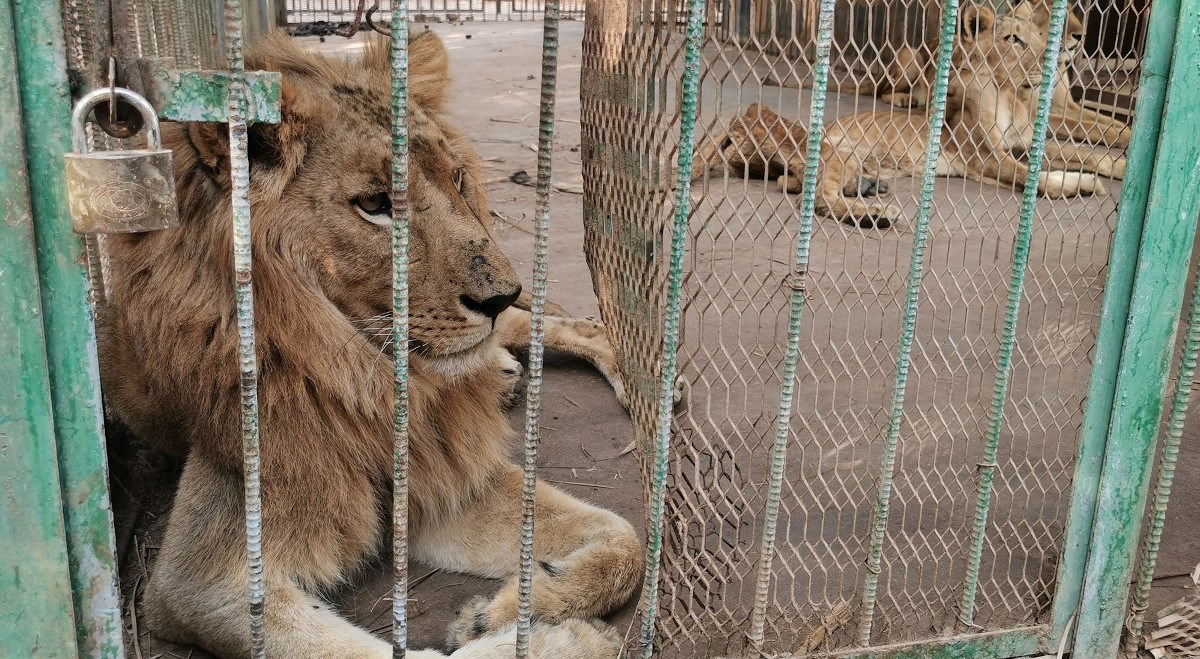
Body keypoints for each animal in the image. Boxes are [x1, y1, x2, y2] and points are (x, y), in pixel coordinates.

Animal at [97, 30, 643, 657]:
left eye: (457, 179)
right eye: (376, 204)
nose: (501, 293)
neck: (361, 375)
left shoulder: (442, 475)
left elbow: (626, 539)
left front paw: (504, 613)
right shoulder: (198, 581)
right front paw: (560, 637)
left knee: (561, 325)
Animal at [878, 0, 1128, 147]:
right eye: (1058, 16)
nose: (1081, 36)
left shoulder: (1066, 104)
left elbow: (1101, 119)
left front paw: (1125, 131)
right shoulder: (1037, 114)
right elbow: (1084, 126)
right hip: (910, 55)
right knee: (883, 90)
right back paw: (904, 98)